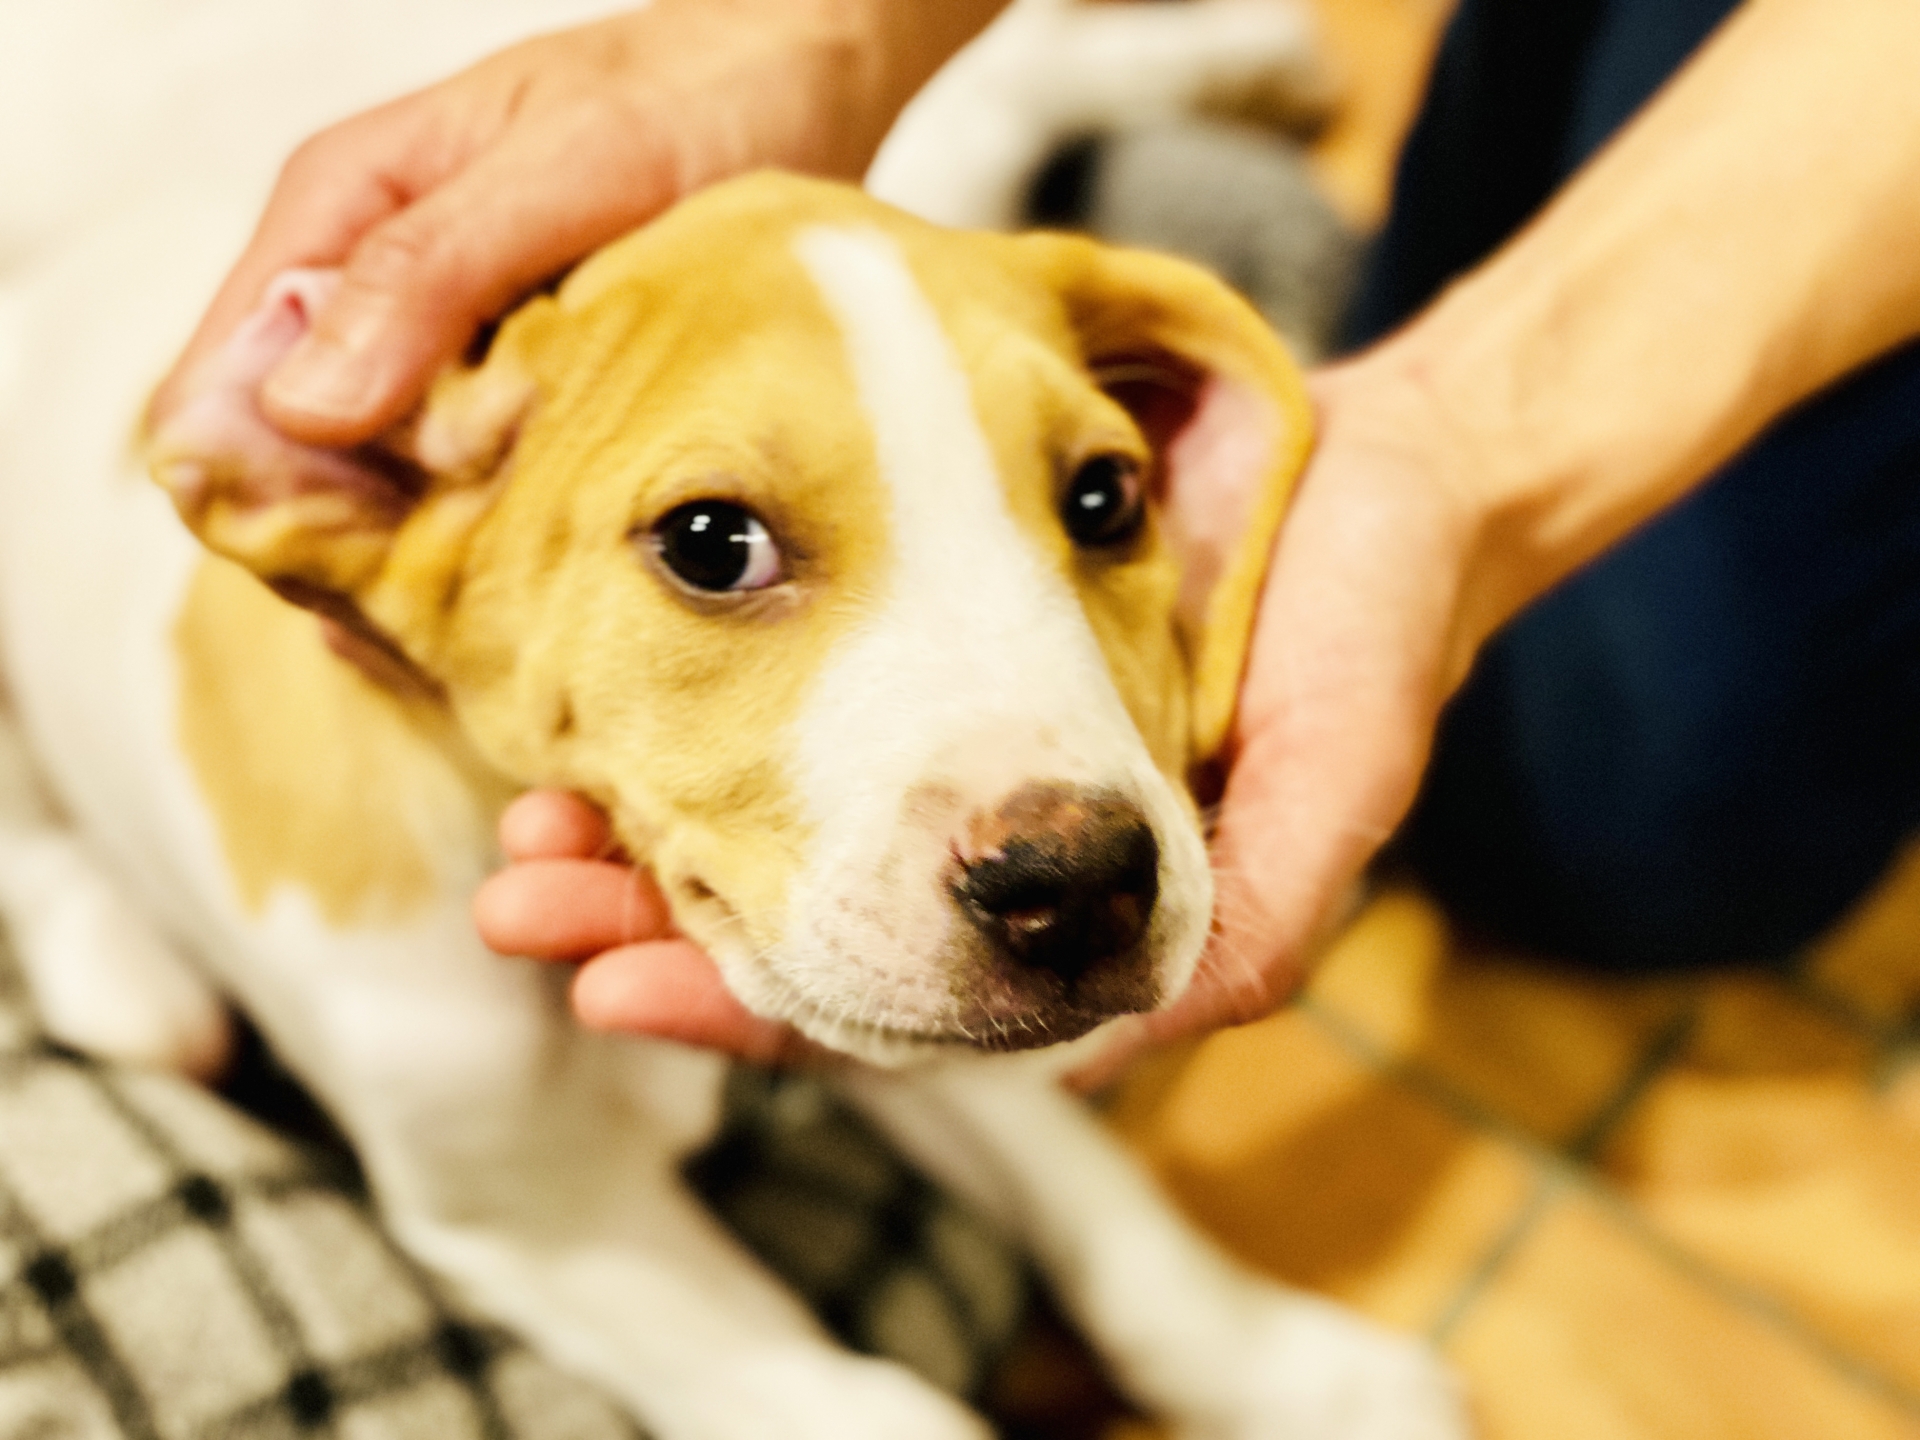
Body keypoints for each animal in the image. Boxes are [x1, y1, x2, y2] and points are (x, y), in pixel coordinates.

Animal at [0, 171, 1466, 1440]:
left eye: (1106, 497)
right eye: (713, 545)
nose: (1084, 884)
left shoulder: (888, 1011)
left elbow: (1099, 1208)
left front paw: (1294, 1378)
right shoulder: (545, 1219)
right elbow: (877, 1410)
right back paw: (121, 972)